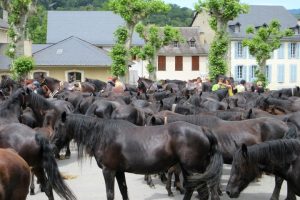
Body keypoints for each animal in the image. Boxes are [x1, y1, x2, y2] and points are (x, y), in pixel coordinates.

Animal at [51, 113, 224, 199]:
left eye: (58, 127)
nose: (51, 146)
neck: (104, 135)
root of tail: (203, 130)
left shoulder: (108, 171)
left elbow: (110, 194)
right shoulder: (118, 171)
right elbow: (124, 191)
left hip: (192, 169)